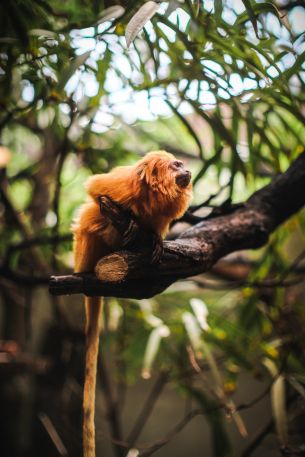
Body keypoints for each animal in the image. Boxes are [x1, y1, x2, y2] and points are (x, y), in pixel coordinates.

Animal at [71, 151, 191, 456]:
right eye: (177, 165)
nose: (187, 170)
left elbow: (157, 229)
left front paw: (156, 239)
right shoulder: (122, 186)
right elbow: (94, 189)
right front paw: (133, 222)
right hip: (85, 251)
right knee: (92, 215)